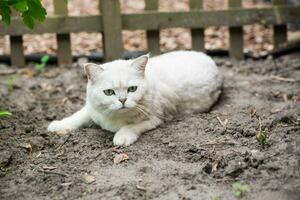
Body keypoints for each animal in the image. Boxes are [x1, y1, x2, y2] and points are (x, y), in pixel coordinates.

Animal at [47, 50, 223, 146]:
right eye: (109, 92)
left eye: (132, 89)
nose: (122, 100)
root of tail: (208, 58)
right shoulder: (92, 109)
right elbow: (78, 115)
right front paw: (59, 125)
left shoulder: (156, 119)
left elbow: (131, 126)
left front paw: (122, 136)